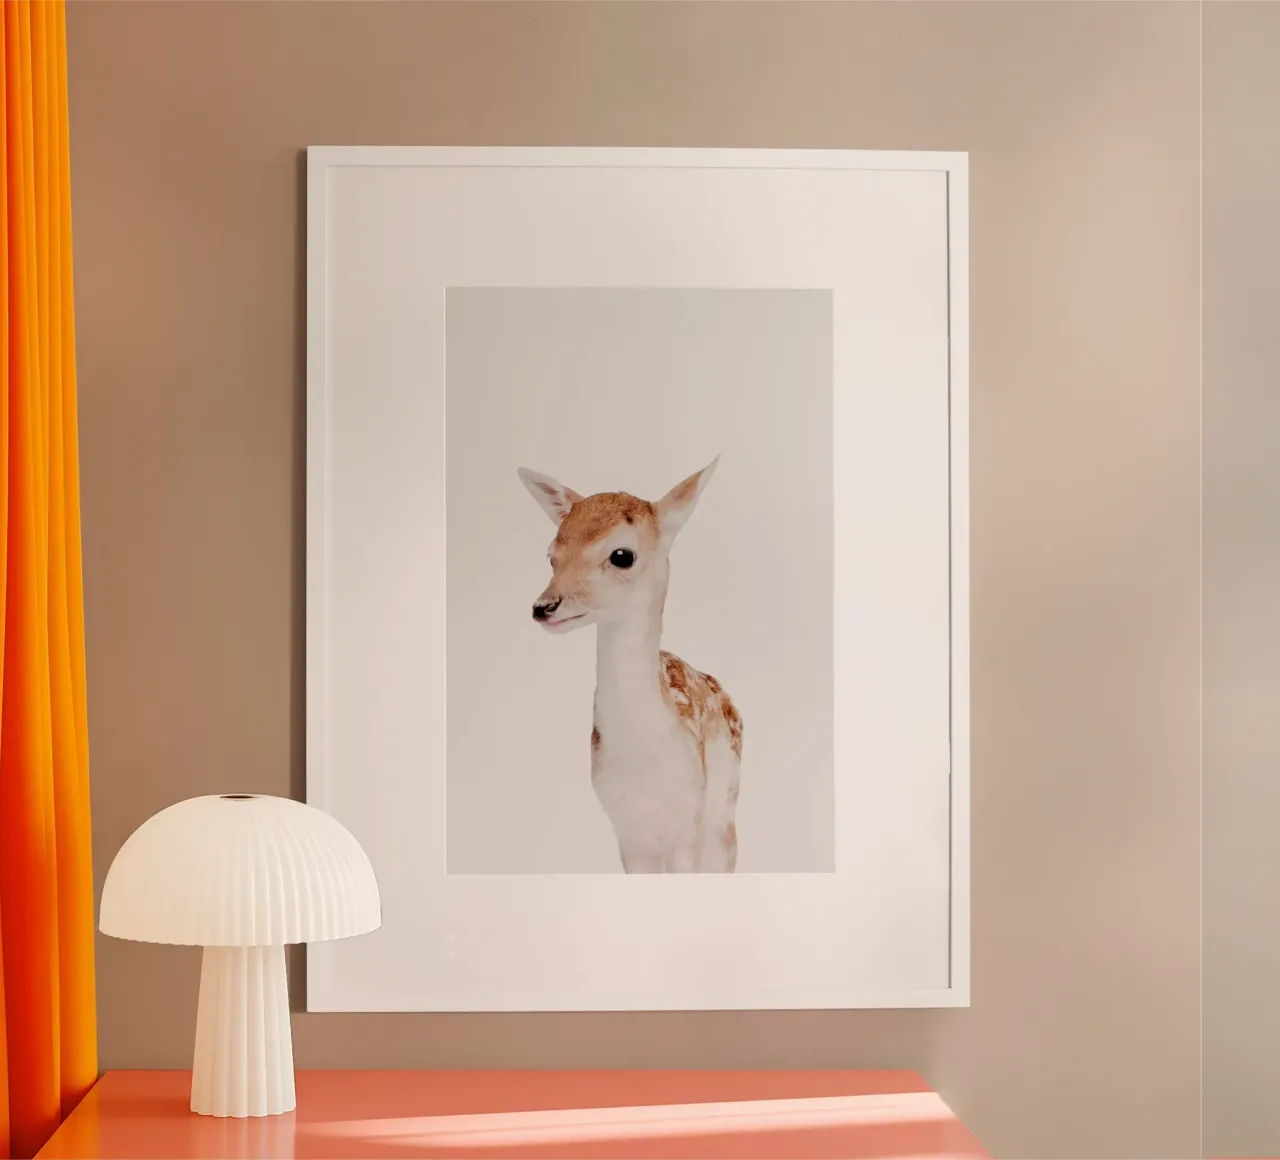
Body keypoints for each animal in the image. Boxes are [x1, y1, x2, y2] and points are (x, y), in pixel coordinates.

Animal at [518, 459, 743, 874]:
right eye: (551, 554)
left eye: (622, 555)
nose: (543, 606)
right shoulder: (627, 830)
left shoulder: (688, 821)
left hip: (724, 804)